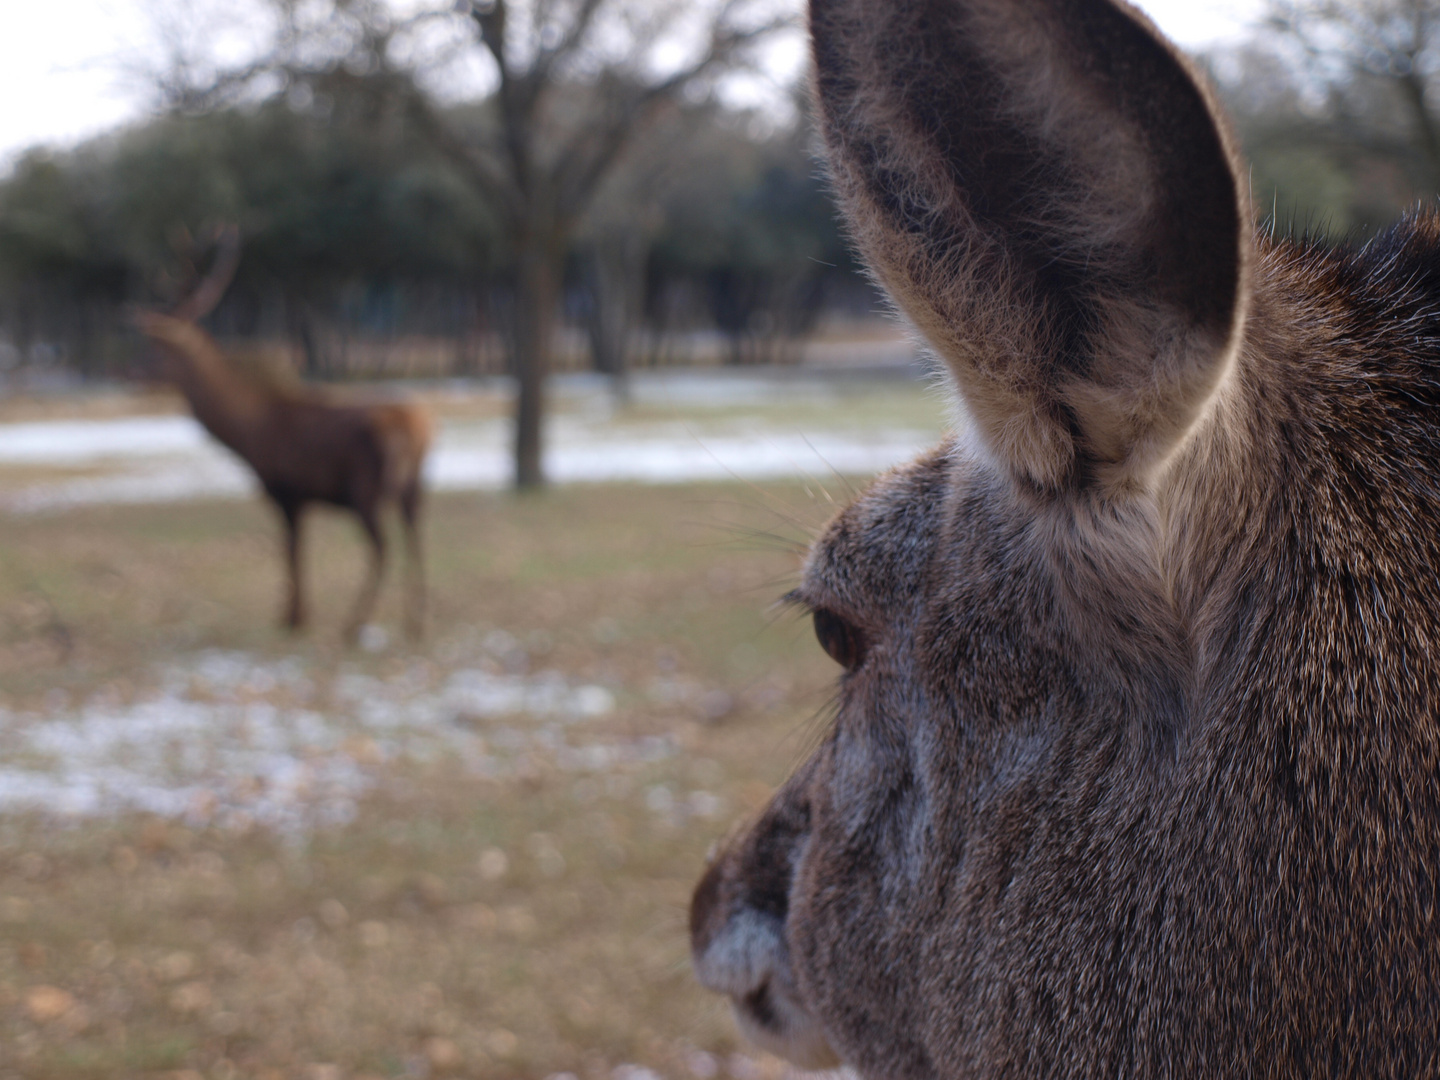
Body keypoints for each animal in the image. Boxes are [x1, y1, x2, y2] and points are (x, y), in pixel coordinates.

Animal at [135, 228, 432, 648]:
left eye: (158, 349)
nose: (129, 371)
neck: (251, 434)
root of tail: (416, 427)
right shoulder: (300, 497)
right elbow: (297, 550)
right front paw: (295, 616)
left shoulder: (286, 490)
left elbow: (290, 551)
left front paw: (293, 618)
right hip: (413, 485)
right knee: (416, 537)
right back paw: (415, 623)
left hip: (367, 488)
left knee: (382, 548)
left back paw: (354, 625)